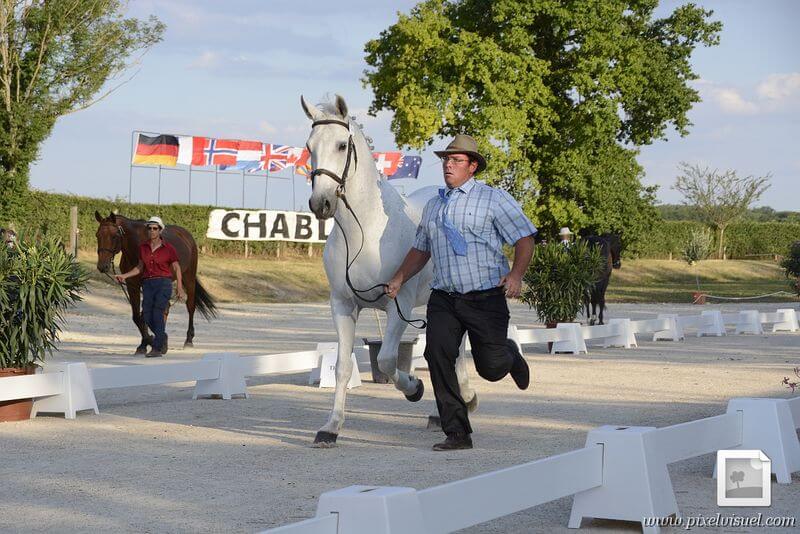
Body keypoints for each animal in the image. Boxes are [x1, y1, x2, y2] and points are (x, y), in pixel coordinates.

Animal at [94, 211, 217, 353]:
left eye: (114, 236)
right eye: (97, 235)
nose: (102, 266)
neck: (137, 247)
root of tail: (186, 235)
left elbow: (145, 315)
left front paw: (153, 341)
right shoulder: (133, 285)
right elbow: (138, 316)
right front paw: (144, 344)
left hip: (188, 278)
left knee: (190, 306)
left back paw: (188, 340)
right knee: (165, 308)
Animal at [302, 94, 477, 447]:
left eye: (342, 145)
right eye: (309, 146)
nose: (320, 204)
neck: (365, 231)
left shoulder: (400, 306)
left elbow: (386, 360)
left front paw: (414, 388)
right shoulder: (343, 305)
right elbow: (342, 367)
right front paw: (331, 427)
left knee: (457, 352)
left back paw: (463, 401)